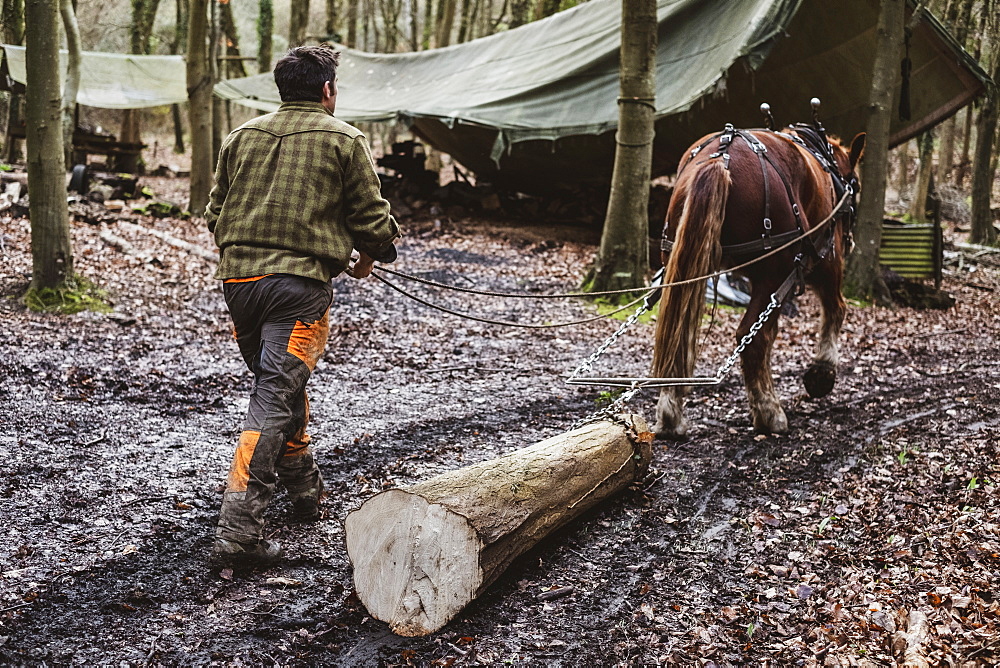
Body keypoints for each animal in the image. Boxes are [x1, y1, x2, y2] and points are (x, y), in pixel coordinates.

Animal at [652, 124, 864, 438]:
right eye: (857, 186)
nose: (850, 242)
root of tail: (720, 158)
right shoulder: (826, 260)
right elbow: (836, 308)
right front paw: (822, 373)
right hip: (774, 274)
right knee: (754, 337)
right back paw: (770, 413)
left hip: (681, 264)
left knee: (680, 334)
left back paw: (670, 415)